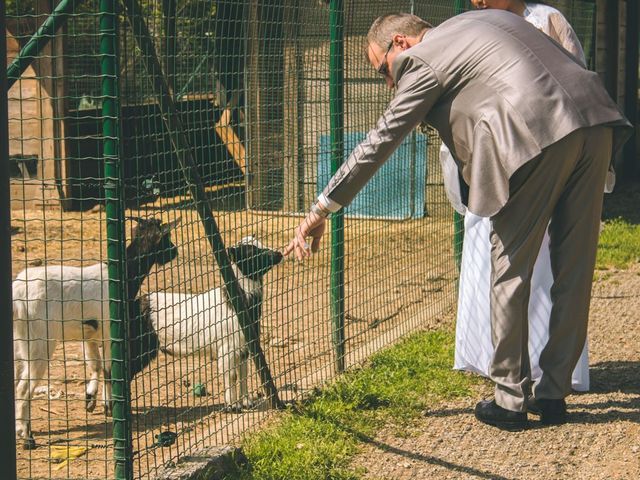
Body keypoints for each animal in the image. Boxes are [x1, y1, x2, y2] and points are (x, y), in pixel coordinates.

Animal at [13, 216, 179, 448]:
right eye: (166, 236)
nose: (175, 251)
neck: (122, 278)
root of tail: (18, 292)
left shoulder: (89, 334)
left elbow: (95, 364)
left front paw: (91, 400)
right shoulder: (110, 331)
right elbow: (110, 370)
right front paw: (110, 407)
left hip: (22, 340)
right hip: (39, 340)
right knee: (24, 388)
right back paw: (27, 436)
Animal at [149, 234, 284, 410]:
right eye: (250, 252)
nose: (278, 254)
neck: (237, 301)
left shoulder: (243, 347)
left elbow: (243, 373)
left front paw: (247, 402)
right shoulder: (227, 346)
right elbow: (231, 375)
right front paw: (233, 406)